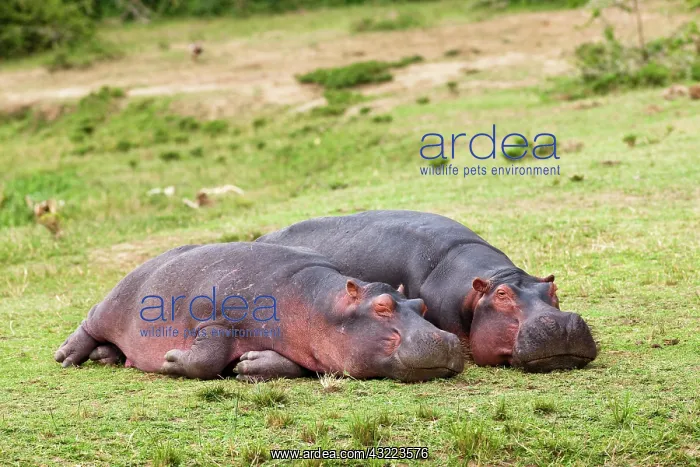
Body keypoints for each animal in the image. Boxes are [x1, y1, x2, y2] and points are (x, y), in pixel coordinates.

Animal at [55, 242, 464, 381]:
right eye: (381, 306)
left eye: (421, 305)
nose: (444, 339)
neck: (317, 302)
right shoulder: (214, 317)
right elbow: (206, 356)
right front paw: (171, 360)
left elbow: (292, 366)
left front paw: (248, 365)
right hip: (113, 304)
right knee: (89, 321)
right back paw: (66, 357)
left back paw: (106, 357)